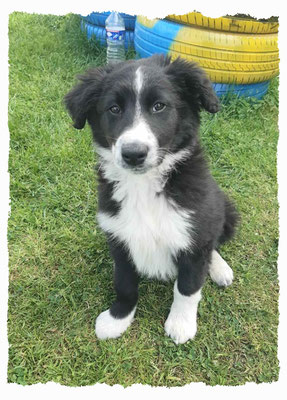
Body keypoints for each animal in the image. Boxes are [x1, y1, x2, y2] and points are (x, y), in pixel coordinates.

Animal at [64, 54, 238, 346]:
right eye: (113, 109)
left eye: (159, 106)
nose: (134, 154)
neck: (144, 185)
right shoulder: (119, 237)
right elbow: (124, 284)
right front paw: (117, 319)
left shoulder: (194, 233)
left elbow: (188, 287)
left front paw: (181, 324)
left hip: (224, 209)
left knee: (213, 244)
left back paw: (220, 269)